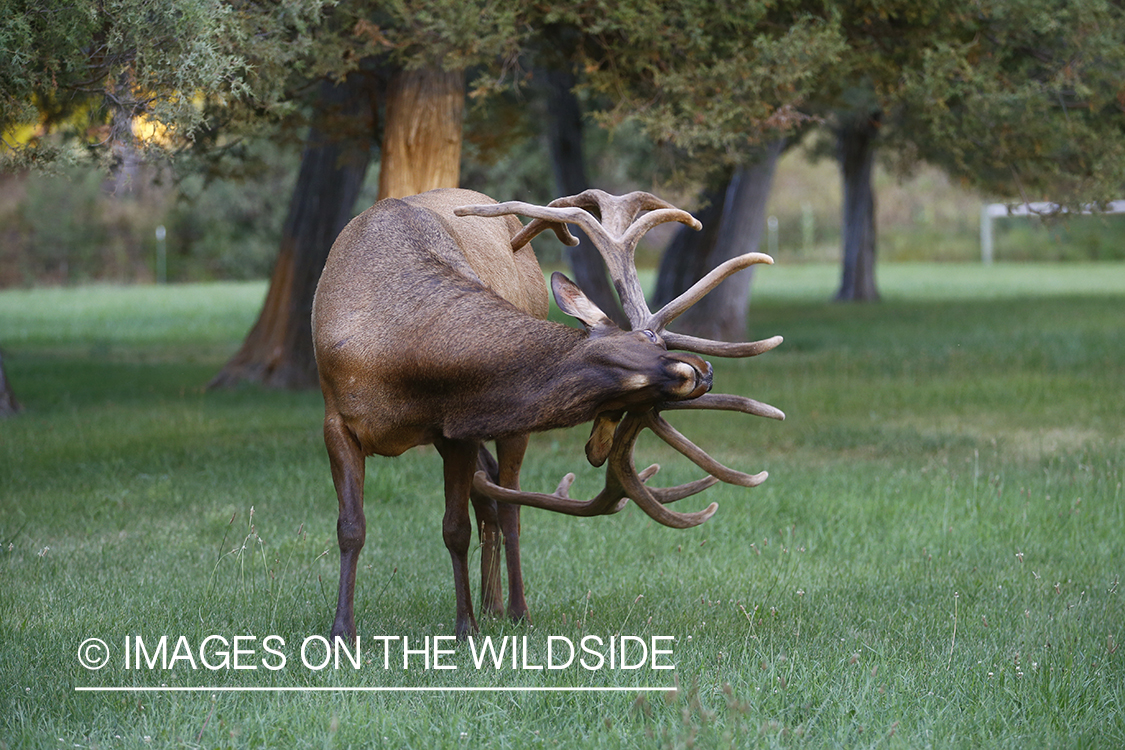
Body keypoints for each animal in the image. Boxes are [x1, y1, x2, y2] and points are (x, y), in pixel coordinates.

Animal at [312, 187, 784, 641]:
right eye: (647, 339)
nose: (704, 372)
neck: (400, 366)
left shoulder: (456, 430)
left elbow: (455, 529)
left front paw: (466, 628)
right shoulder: (336, 420)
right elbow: (351, 527)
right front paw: (342, 631)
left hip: (502, 427)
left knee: (506, 505)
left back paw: (511, 609)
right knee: (490, 497)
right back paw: (492, 603)